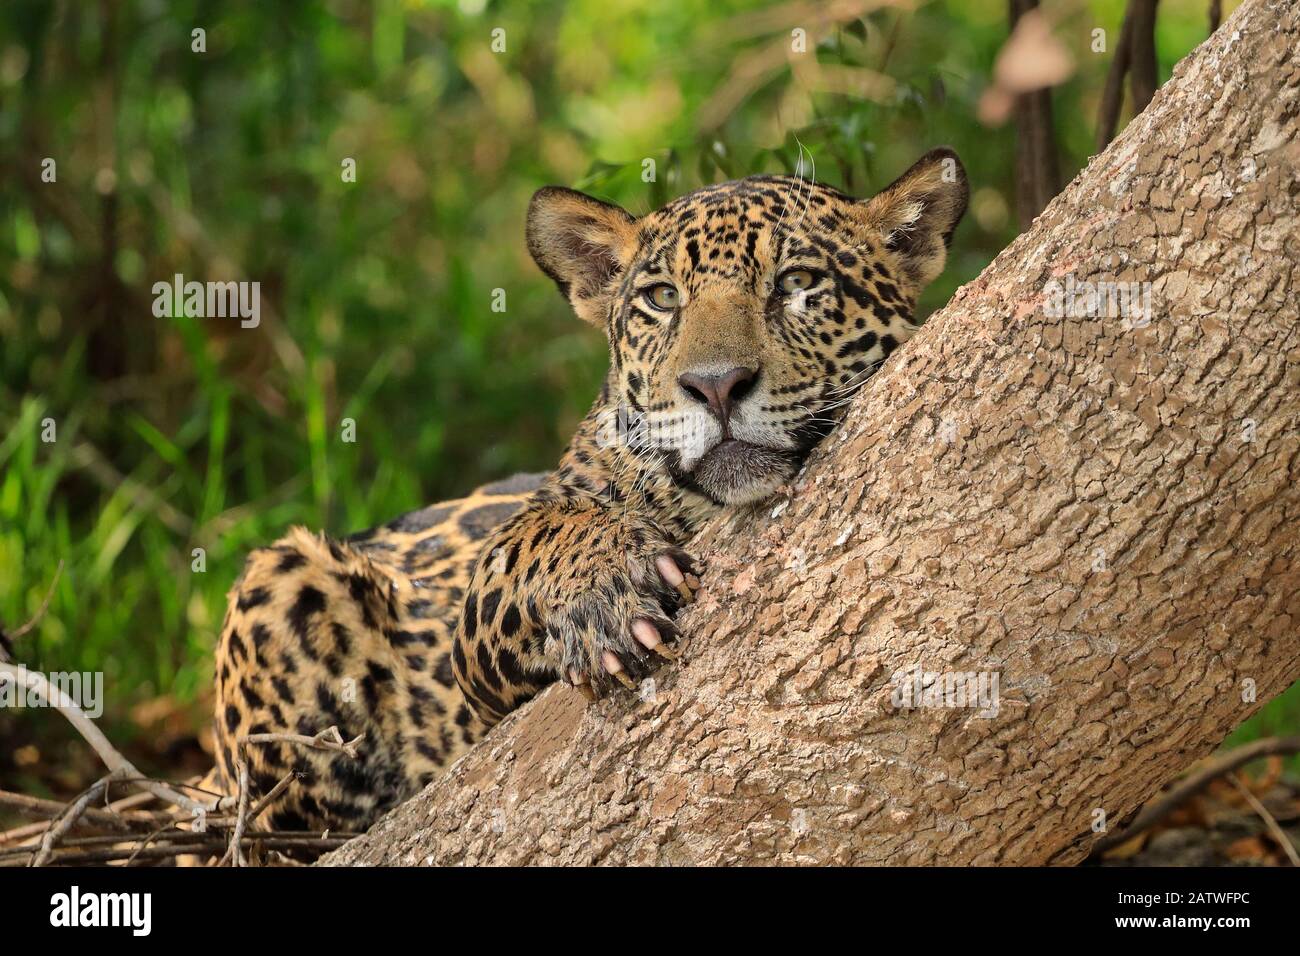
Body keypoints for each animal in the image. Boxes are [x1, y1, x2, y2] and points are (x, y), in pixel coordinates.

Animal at [207, 148, 968, 837]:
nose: (716, 385)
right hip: (282, 580)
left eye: (799, 283)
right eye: (662, 298)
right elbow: (537, 537)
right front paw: (606, 594)